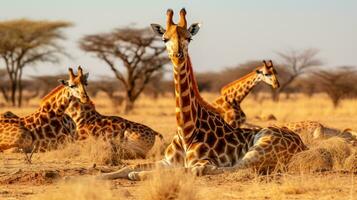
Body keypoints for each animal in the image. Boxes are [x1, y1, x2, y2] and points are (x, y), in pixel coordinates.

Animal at [100, 7, 306, 180]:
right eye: (164, 39)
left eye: (189, 38)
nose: (178, 55)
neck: (186, 131)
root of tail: (303, 145)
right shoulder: (166, 161)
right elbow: (128, 166)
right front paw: (99, 177)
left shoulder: (199, 160)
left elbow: (187, 169)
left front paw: (139, 174)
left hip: (263, 143)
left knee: (238, 167)